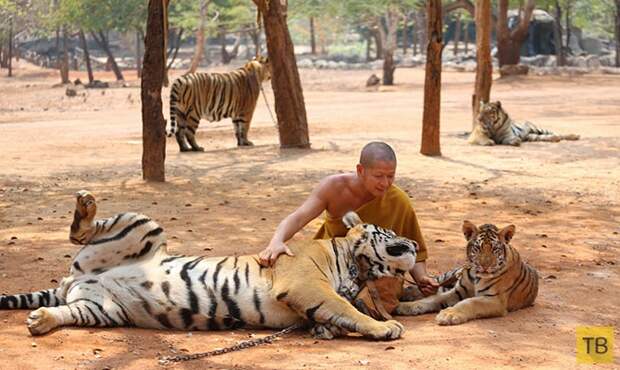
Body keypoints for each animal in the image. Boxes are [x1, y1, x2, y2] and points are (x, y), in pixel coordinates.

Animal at [1, 192, 416, 340]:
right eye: (393, 233)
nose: (413, 242)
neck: (357, 266)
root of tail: (77, 278)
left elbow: (339, 312)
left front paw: (326, 330)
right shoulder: (305, 284)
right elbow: (347, 308)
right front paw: (386, 327)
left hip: (101, 309)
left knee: (67, 311)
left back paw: (41, 321)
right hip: (142, 226)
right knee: (83, 231)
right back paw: (85, 206)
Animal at [398, 221, 536, 326]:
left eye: (495, 249)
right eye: (478, 248)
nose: (485, 266)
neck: (476, 277)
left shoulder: (495, 300)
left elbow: (469, 302)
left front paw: (449, 314)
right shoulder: (457, 291)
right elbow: (433, 298)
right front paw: (406, 306)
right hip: (449, 275)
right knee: (431, 284)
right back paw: (406, 293)